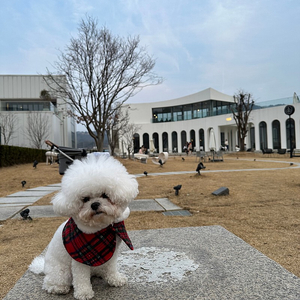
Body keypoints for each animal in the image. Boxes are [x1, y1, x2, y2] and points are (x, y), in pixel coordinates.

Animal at [29, 155, 138, 300]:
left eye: (105, 195)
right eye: (85, 199)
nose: (95, 204)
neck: (101, 229)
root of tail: (44, 267)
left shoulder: (113, 252)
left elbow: (111, 268)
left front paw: (115, 279)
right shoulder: (80, 259)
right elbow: (81, 278)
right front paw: (84, 293)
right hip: (60, 272)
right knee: (50, 283)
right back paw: (58, 288)